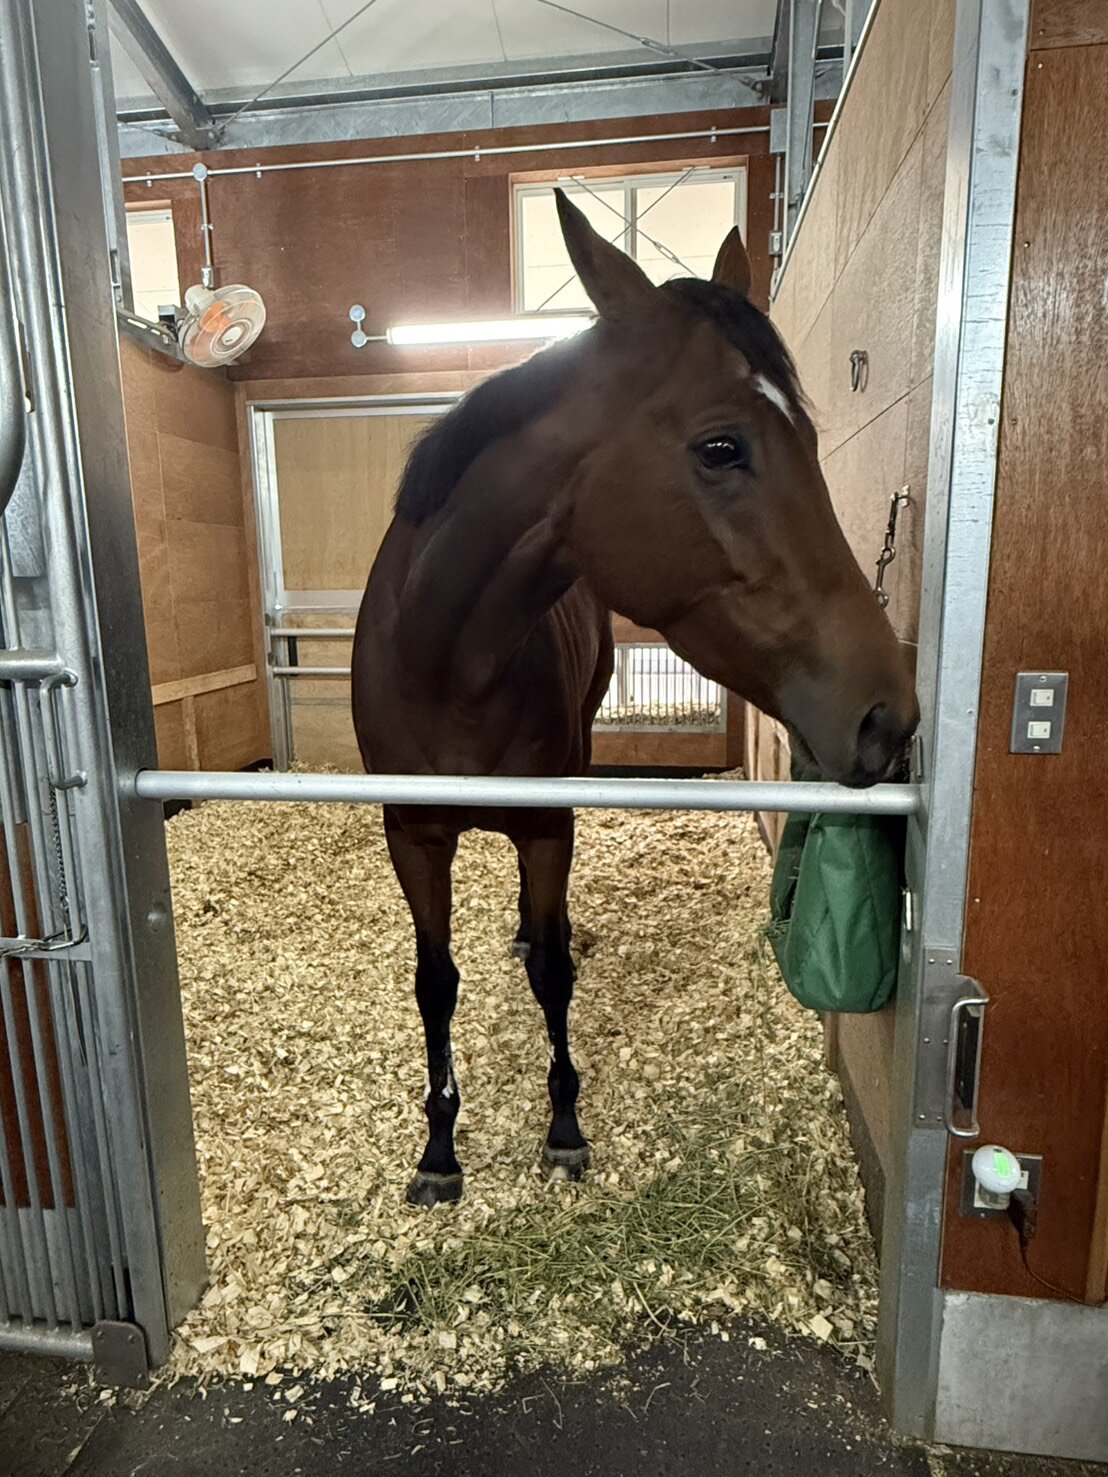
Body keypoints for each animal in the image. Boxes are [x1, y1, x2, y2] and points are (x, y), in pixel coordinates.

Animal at [351, 190, 919, 1208]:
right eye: (722, 446)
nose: (887, 712)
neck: (445, 657)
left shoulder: (547, 825)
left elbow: (552, 971)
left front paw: (564, 1126)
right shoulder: (411, 835)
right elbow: (434, 980)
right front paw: (440, 1147)